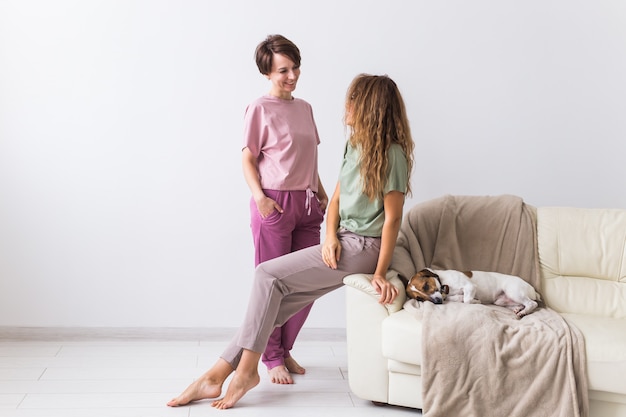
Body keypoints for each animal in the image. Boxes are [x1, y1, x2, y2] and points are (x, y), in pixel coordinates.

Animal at [402, 268, 540, 316]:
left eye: (425, 286)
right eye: (419, 299)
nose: (437, 302)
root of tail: (533, 289)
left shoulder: (470, 286)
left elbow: (467, 300)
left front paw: (476, 301)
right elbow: (460, 298)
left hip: (513, 291)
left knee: (532, 304)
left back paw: (524, 312)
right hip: (502, 301)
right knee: (523, 303)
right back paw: (518, 309)